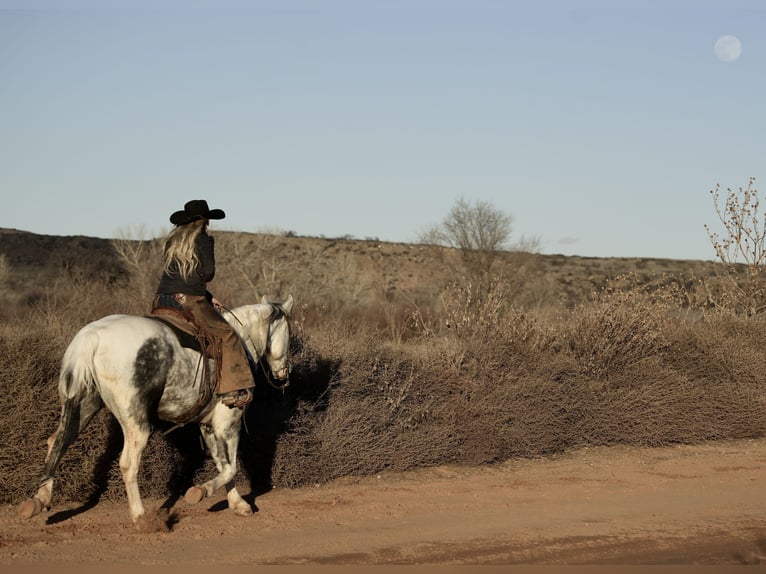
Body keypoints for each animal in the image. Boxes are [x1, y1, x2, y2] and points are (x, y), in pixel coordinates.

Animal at [18, 296, 294, 536]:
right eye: (289, 335)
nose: (283, 374)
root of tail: (91, 337)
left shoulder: (208, 426)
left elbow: (221, 462)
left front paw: (237, 504)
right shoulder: (228, 422)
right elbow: (231, 466)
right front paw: (201, 492)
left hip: (82, 404)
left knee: (58, 441)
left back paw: (38, 500)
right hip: (136, 423)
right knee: (128, 464)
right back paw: (142, 518)